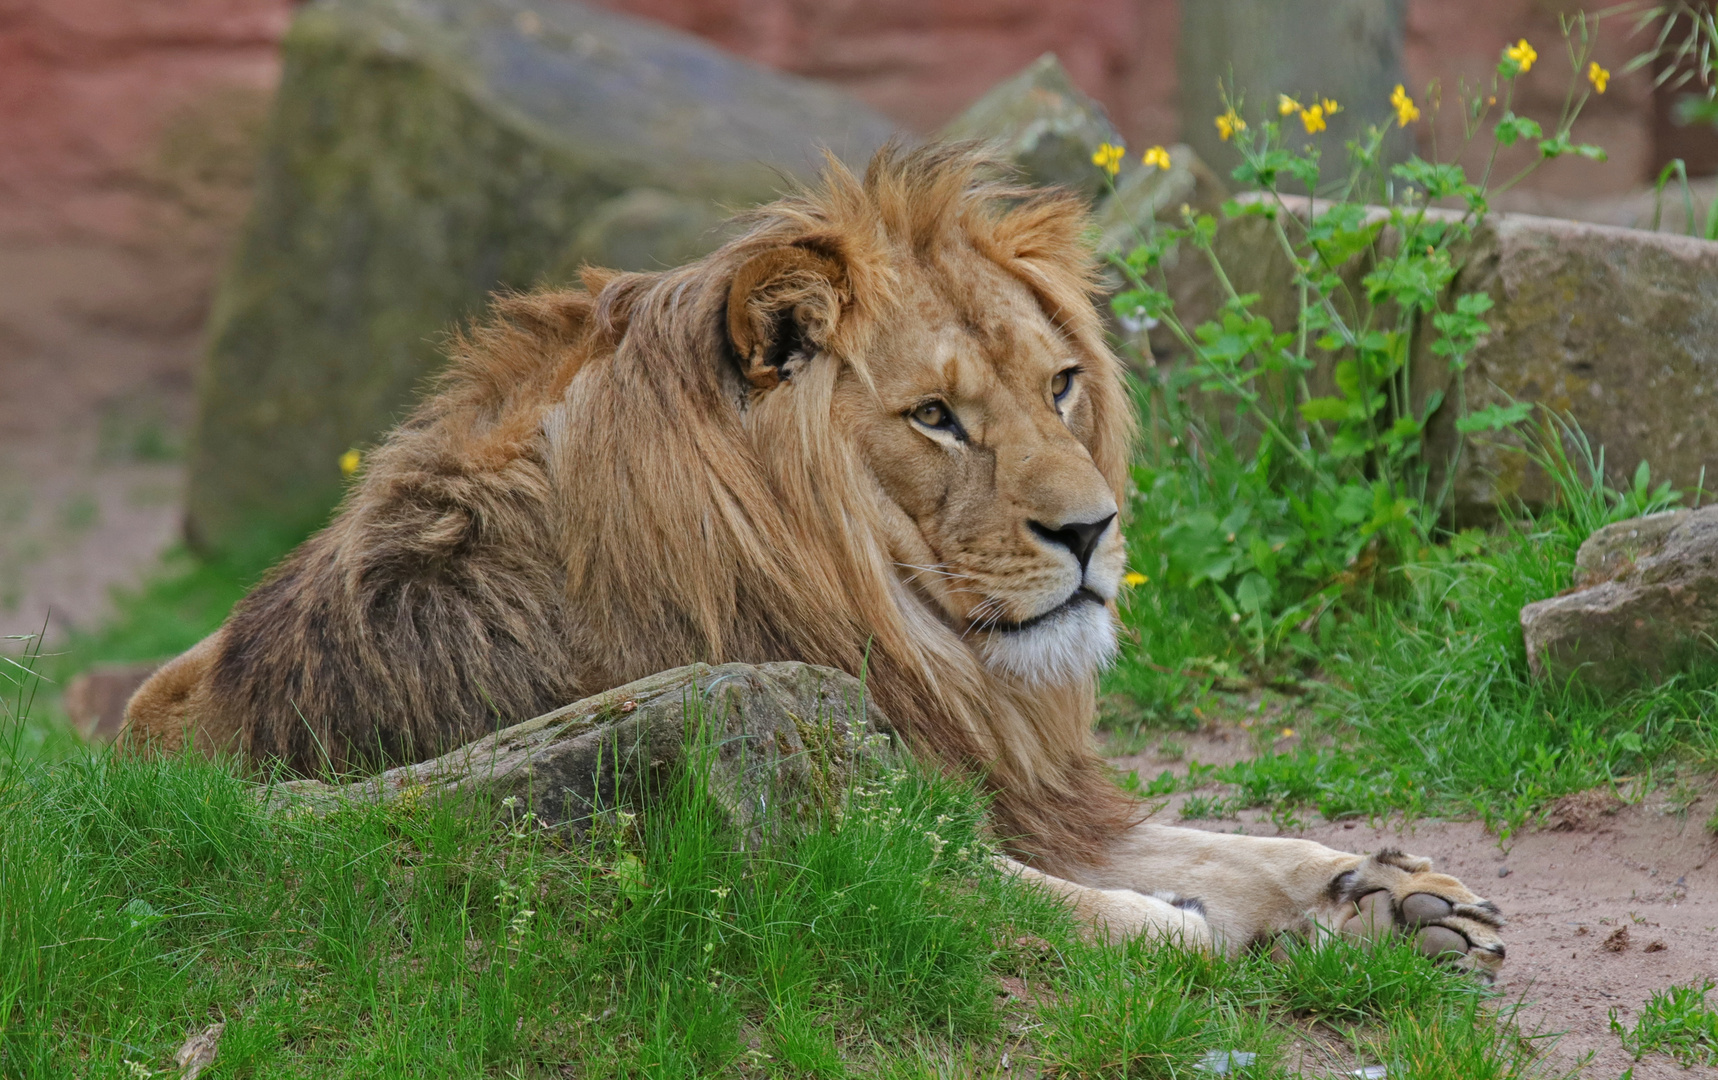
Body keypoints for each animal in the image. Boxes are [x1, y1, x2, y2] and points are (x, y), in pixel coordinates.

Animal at [127, 140, 1504, 968]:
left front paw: (1382, 889)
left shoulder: (1001, 776)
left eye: (1059, 386)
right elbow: (1074, 901)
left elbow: (1213, 838)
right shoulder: (821, 842)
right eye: (934, 417)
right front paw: (1178, 921)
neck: (893, 626)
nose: (1091, 530)